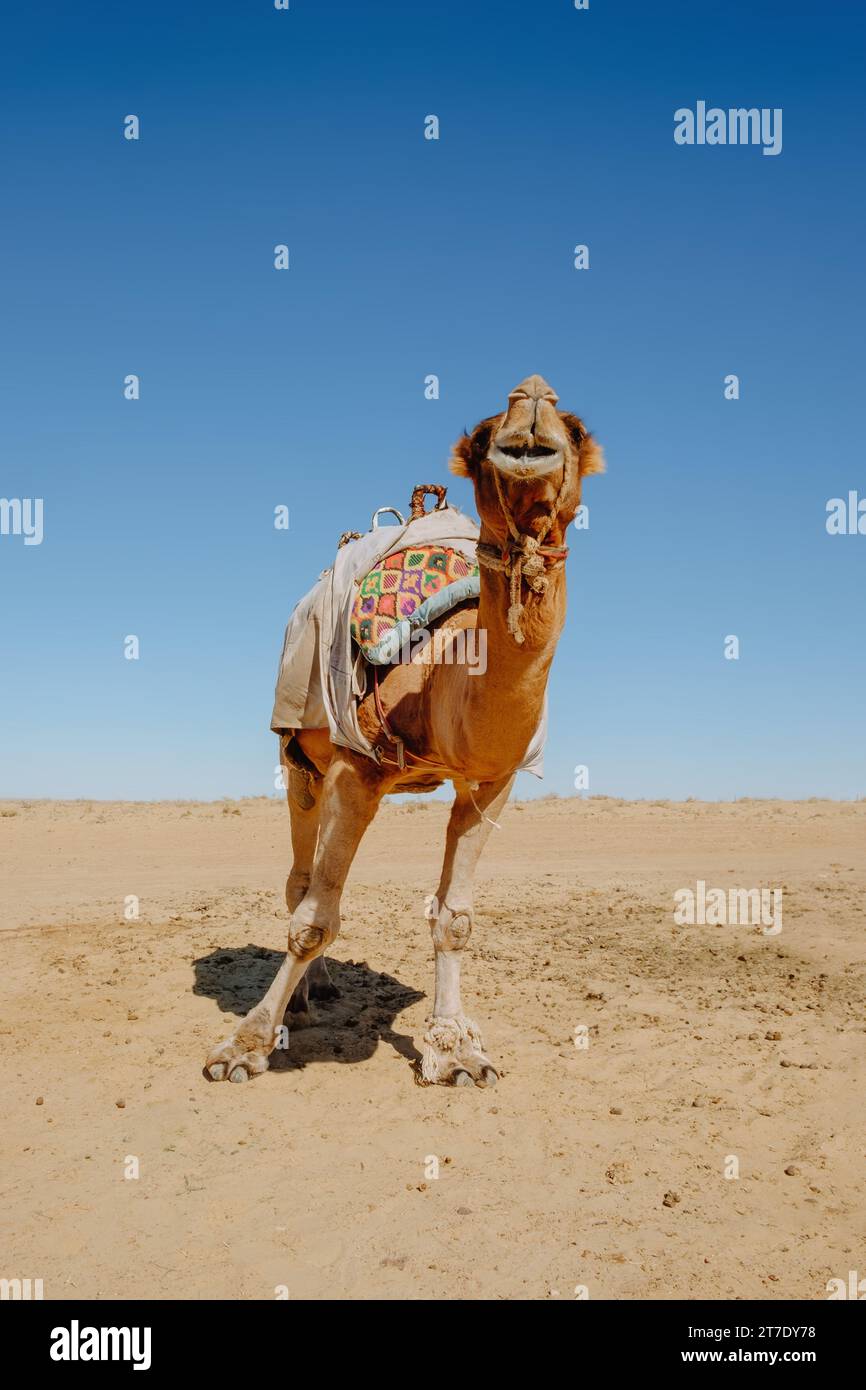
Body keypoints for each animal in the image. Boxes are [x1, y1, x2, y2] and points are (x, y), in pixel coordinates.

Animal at [205, 374, 604, 1087]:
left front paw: (457, 1051)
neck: (446, 667)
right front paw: (243, 1047)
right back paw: (304, 998)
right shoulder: (353, 768)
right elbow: (313, 921)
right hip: (299, 761)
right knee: (301, 877)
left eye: (577, 429)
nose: (532, 400)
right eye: (483, 433)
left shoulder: (490, 782)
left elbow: (455, 919)